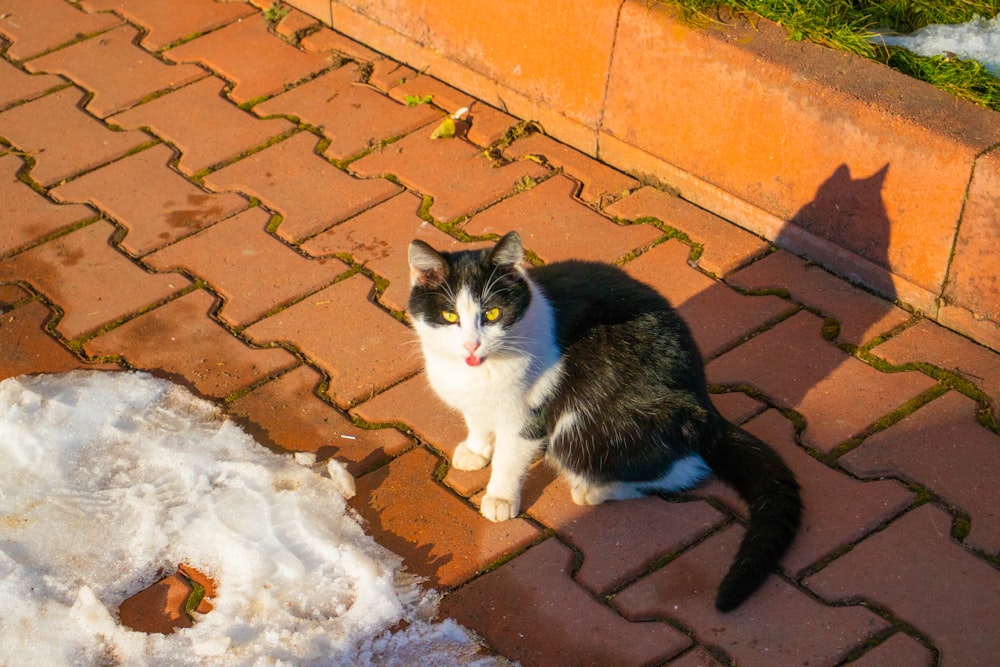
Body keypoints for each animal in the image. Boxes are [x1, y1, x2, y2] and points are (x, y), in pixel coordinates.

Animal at [402, 230, 800, 612]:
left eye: (493, 313)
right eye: (450, 317)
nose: (471, 346)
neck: (480, 372)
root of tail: (704, 401)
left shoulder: (530, 413)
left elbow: (511, 457)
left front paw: (500, 495)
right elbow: (478, 420)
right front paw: (476, 449)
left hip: (584, 425)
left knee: (685, 469)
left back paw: (596, 490)